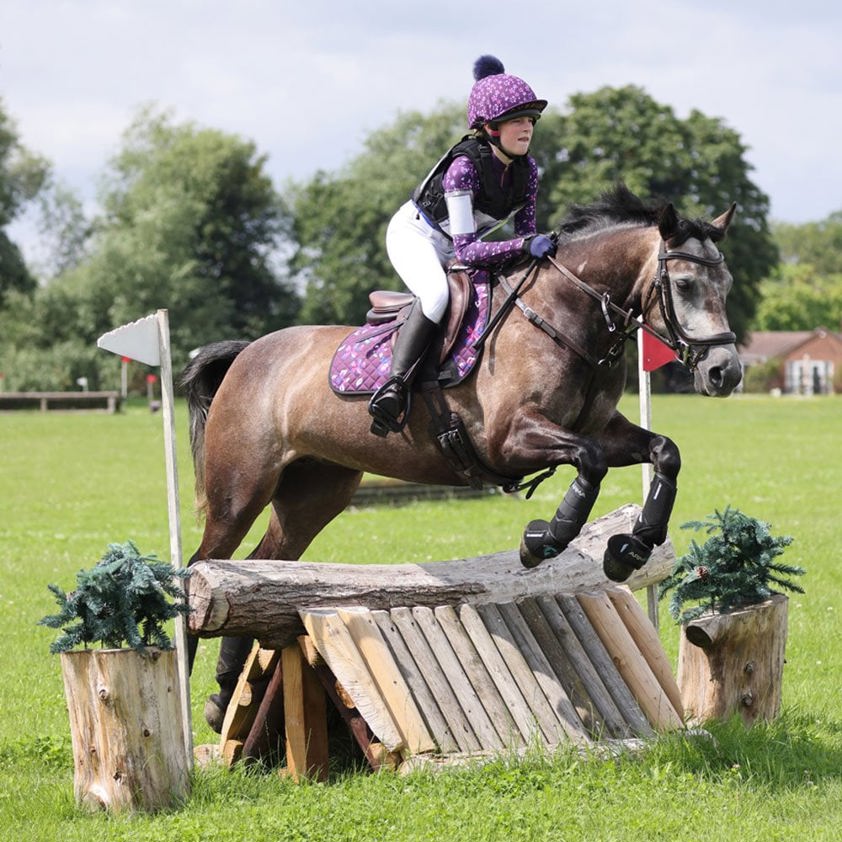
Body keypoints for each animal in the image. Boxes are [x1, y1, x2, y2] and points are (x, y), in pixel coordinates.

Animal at [180, 187, 740, 720]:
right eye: (684, 285)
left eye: (728, 284)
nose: (725, 372)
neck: (565, 316)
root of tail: (248, 352)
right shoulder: (509, 439)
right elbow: (590, 462)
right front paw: (543, 541)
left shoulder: (604, 429)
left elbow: (665, 452)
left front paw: (632, 547)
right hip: (240, 491)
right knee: (201, 567)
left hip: (315, 493)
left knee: (262, 566)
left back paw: (224, 691)